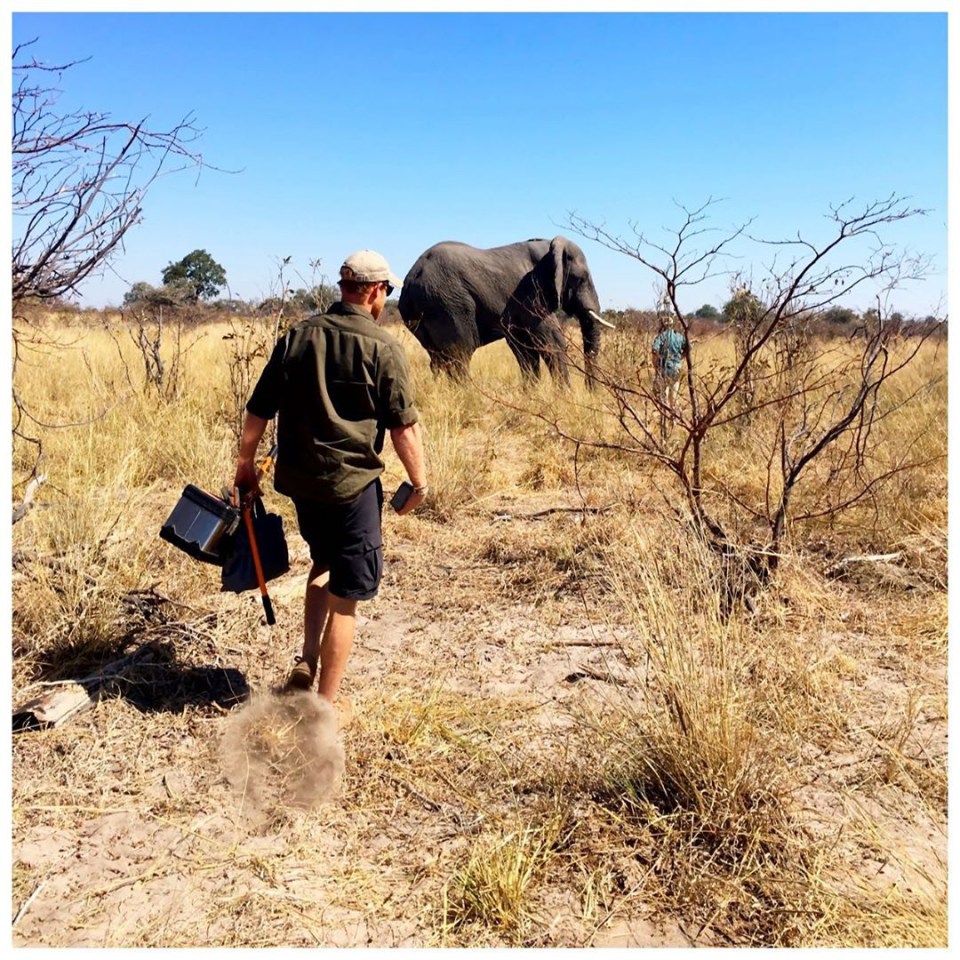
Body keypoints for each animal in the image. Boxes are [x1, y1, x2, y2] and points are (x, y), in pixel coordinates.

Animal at [400, 234, 616, 384]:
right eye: (581, 279)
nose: (590, 392)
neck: (549, 248)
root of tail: (410, 280)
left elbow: (524, 349)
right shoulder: (530, 292)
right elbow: (552, 342)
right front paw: (564, 397)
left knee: (437, 360)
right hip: (448, 303)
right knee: (460, 355)